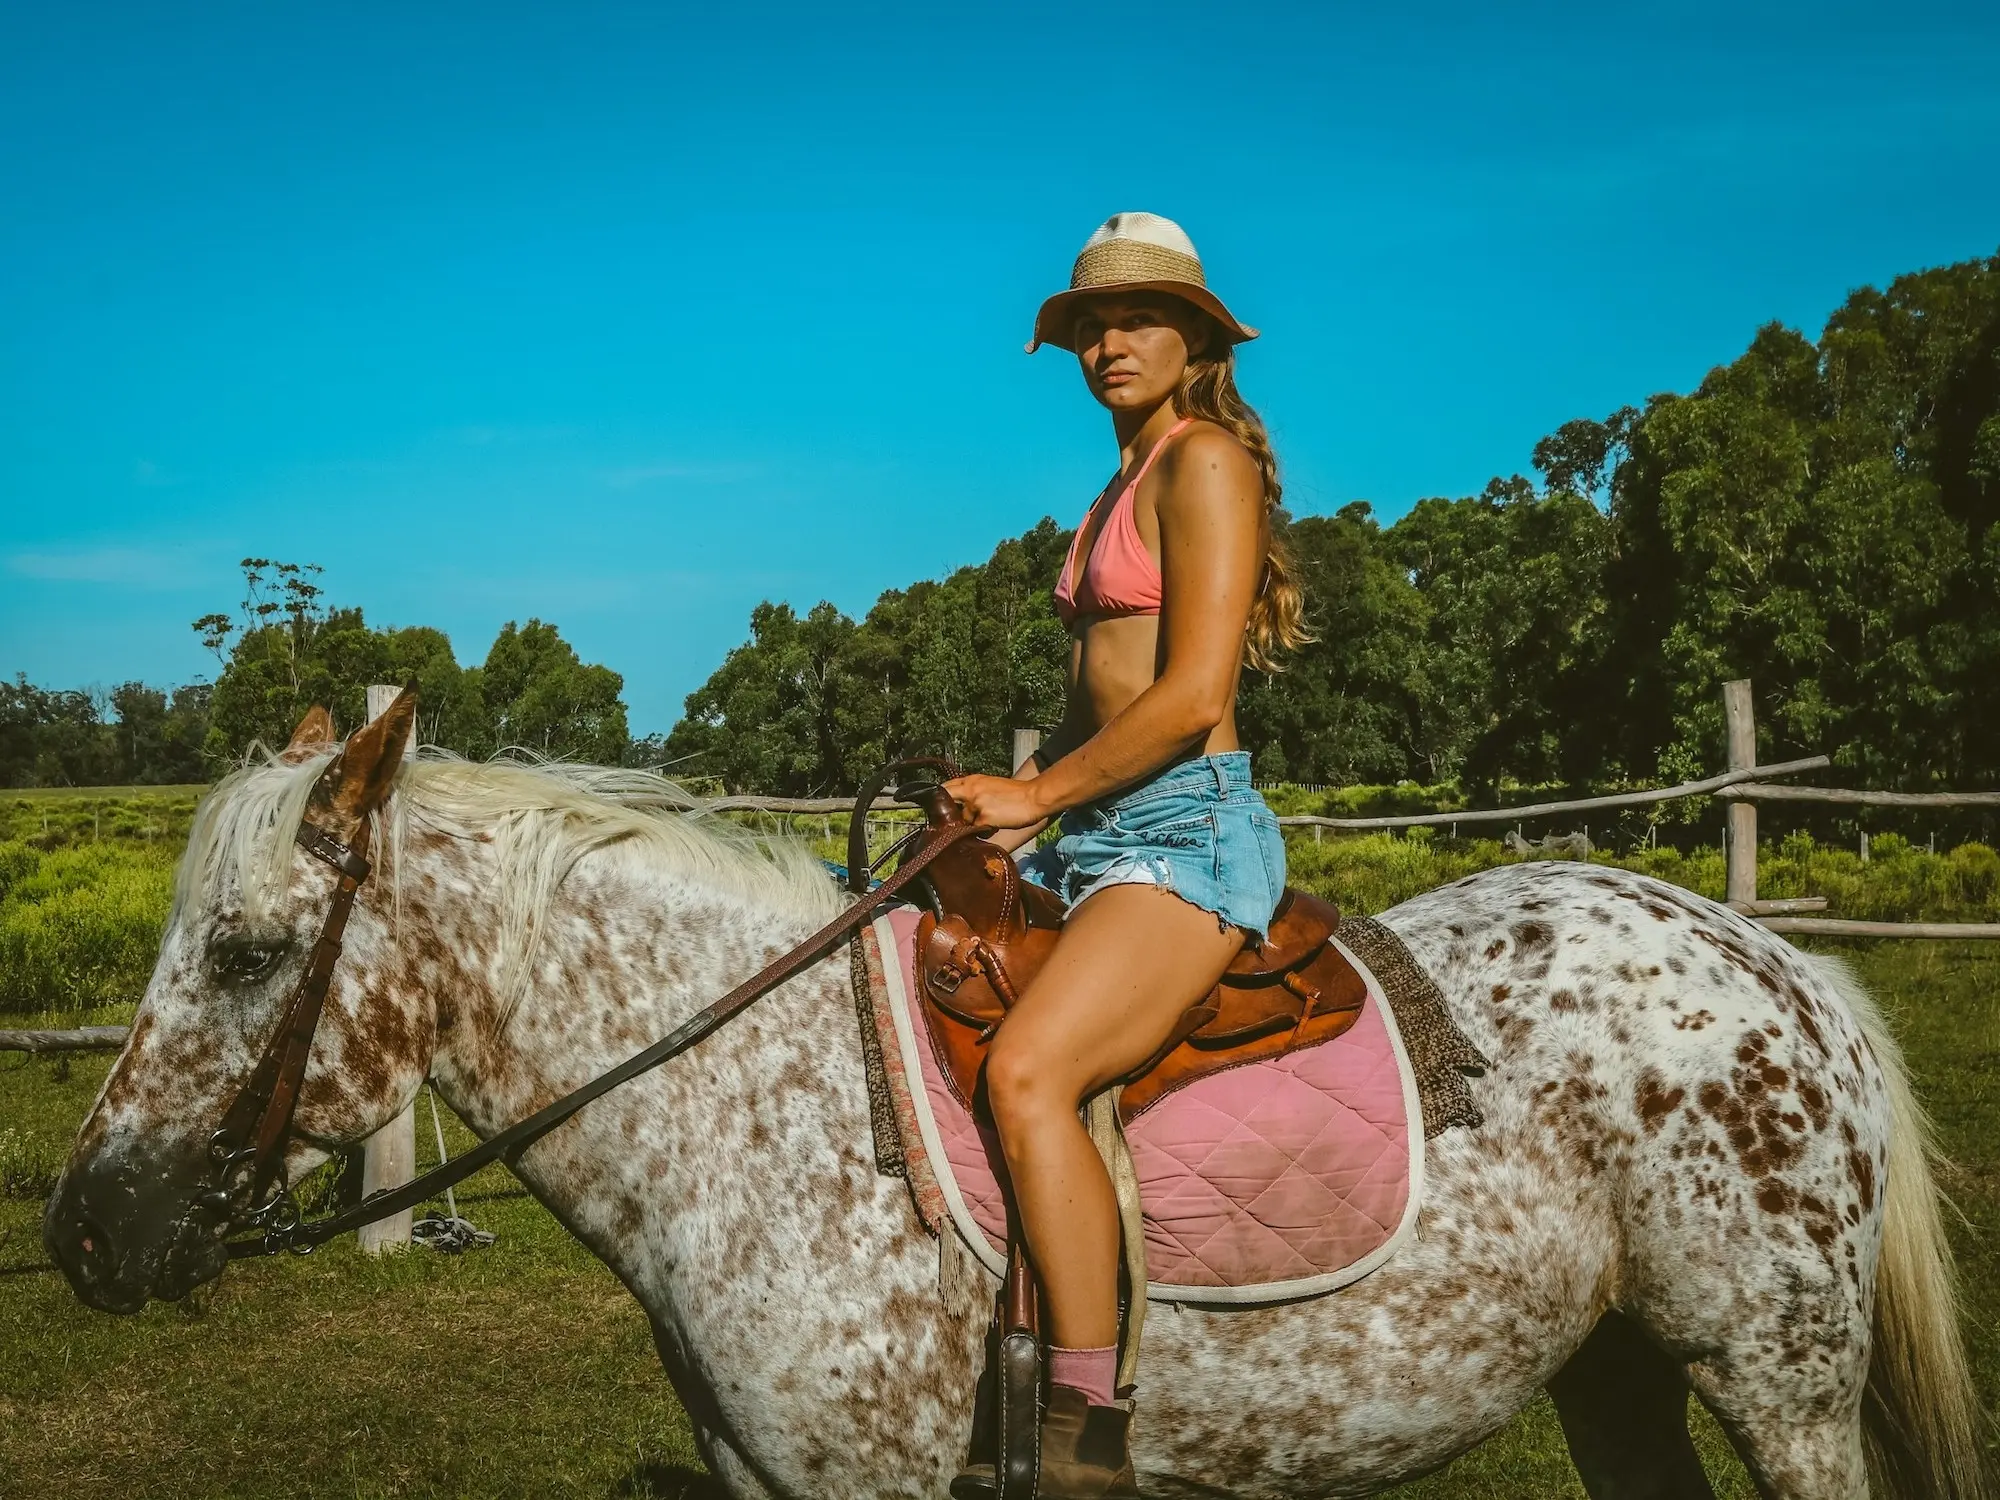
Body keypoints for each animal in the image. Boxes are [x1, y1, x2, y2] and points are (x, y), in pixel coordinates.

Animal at [43, 708, 1984, 1500]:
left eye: (244, 952)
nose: (80, 1232)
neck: (747, 1115)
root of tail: (1780, 965)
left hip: (1781, 1383)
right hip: (1619, 1373)